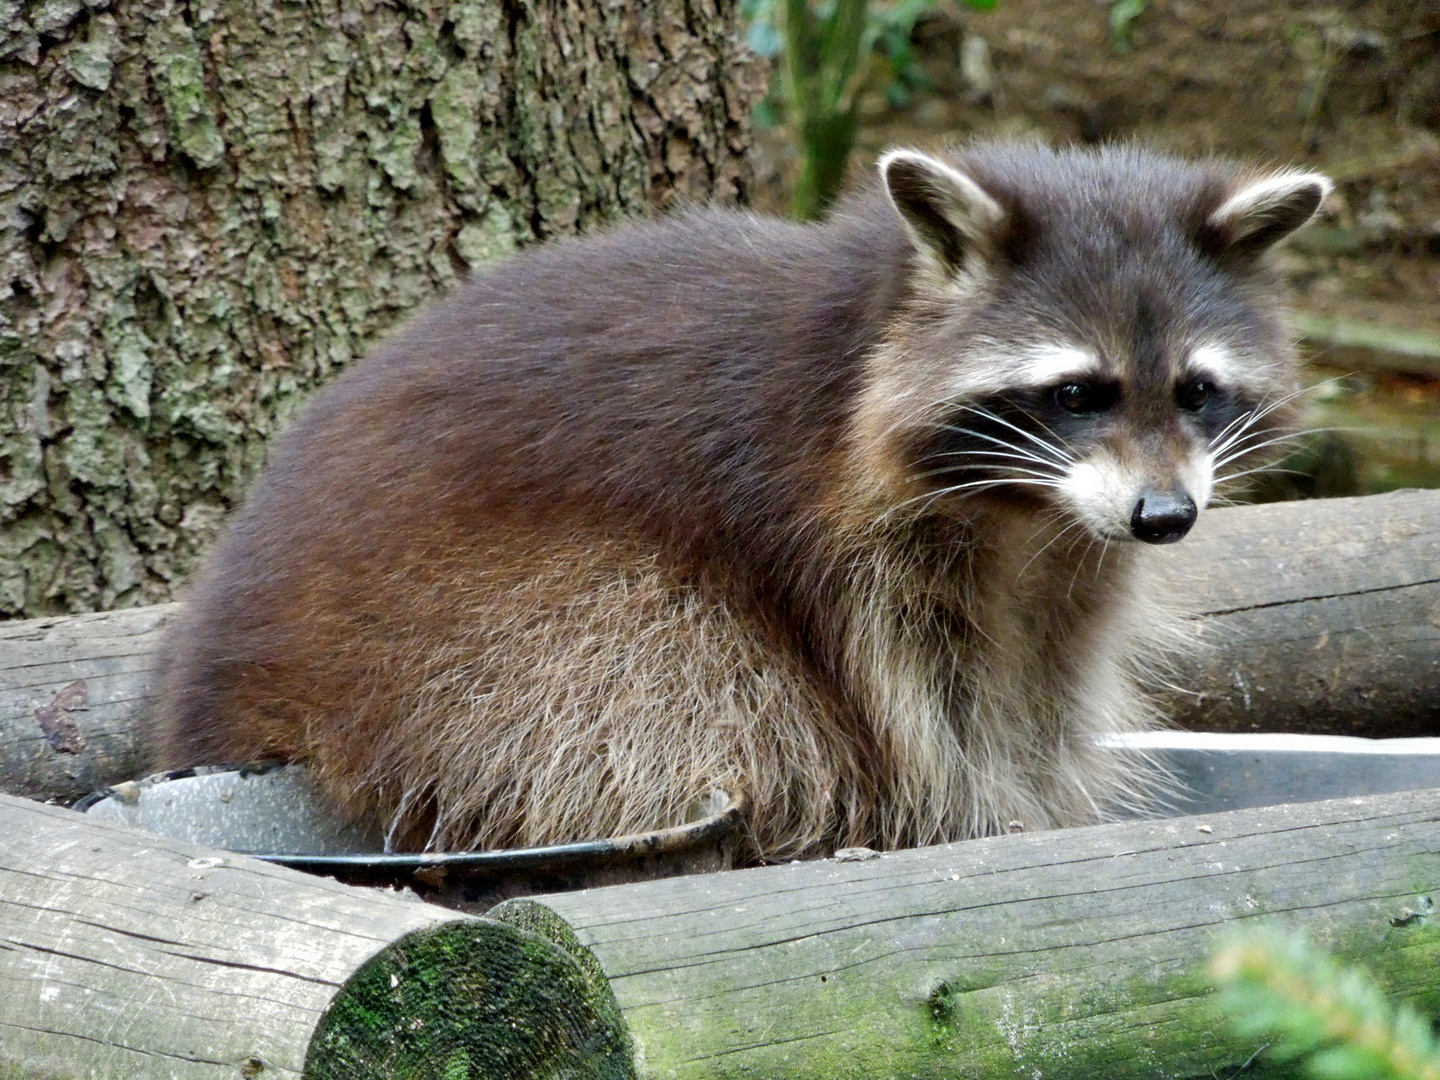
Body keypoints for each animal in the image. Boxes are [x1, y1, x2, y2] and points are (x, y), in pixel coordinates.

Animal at [151, 144, 1330, 864]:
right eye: (1079, 393)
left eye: (1197, 390)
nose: (1165, 517)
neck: (1020, 509)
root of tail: (223, 685)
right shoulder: (841, 542)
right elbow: (922, 707)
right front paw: (981, 818)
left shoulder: (1069, 553)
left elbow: (1040, 678)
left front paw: (1045, 798)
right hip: (461, 623)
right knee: (669, 672)